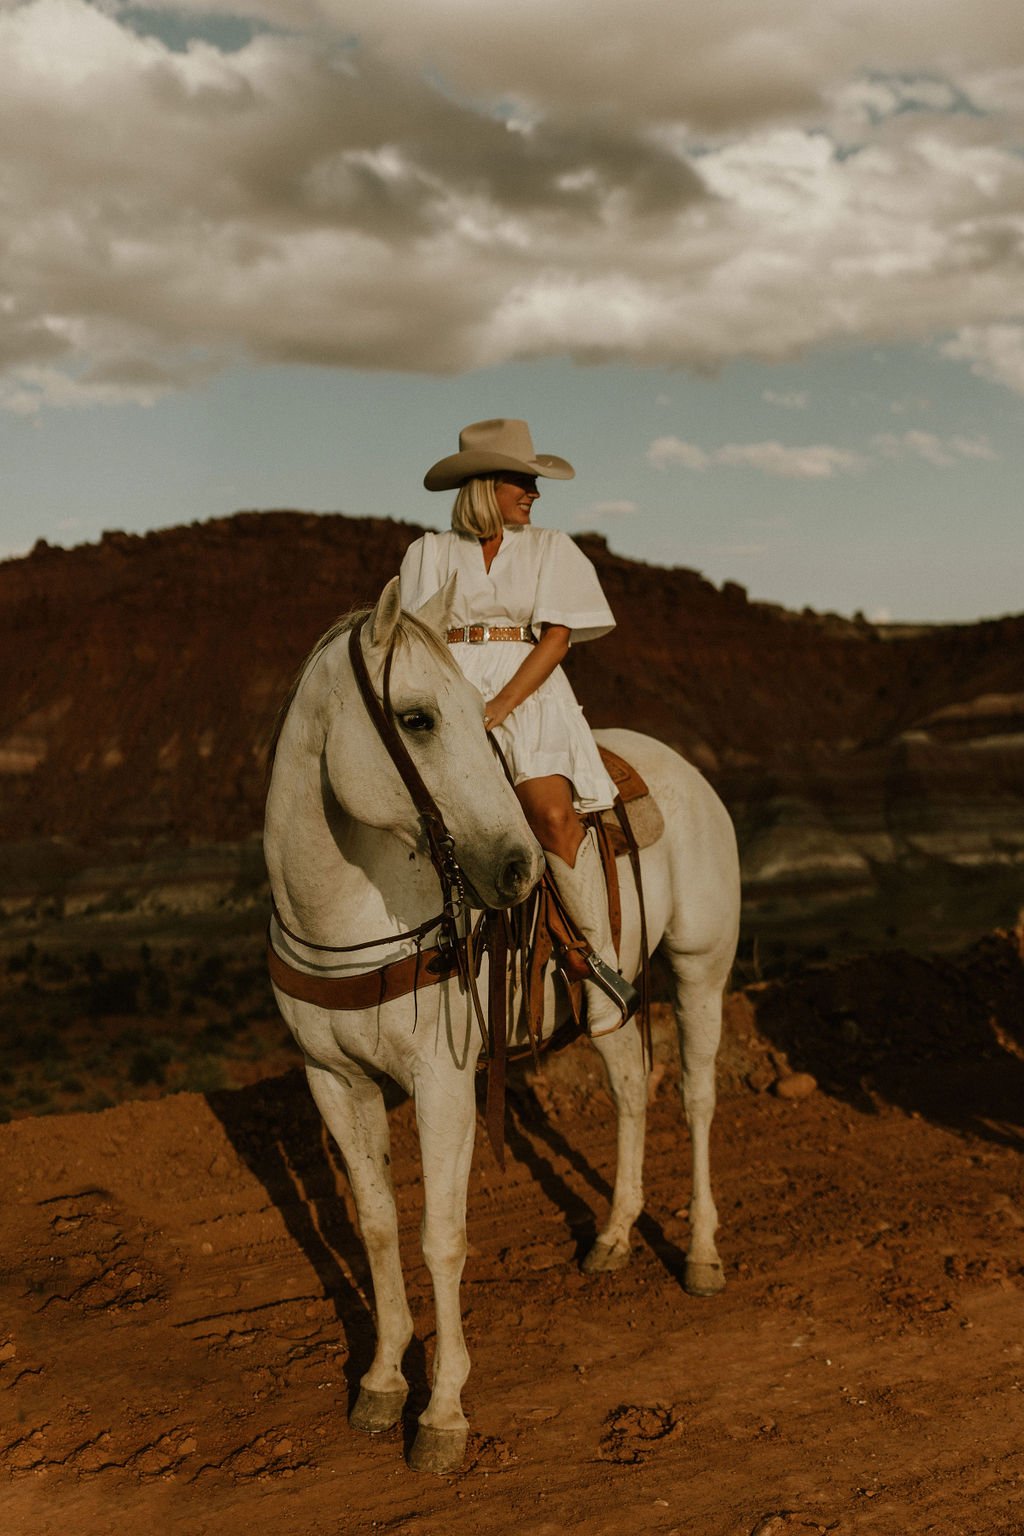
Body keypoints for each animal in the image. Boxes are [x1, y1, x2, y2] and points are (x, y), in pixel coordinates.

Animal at [264, 577, 741, 1475]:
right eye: (417, 718)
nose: (516, 869)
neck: (348, 913)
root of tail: (684, 768)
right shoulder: (332, 1079)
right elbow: (375, 1223)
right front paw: (382, 1380)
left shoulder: (444, 1083)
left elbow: (440, 1236)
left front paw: (443, 1413)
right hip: (607, 1009)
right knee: (632, 1087)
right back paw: (613, 1236)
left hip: (702, 966)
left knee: (695, 1097)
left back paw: (700, 1254)